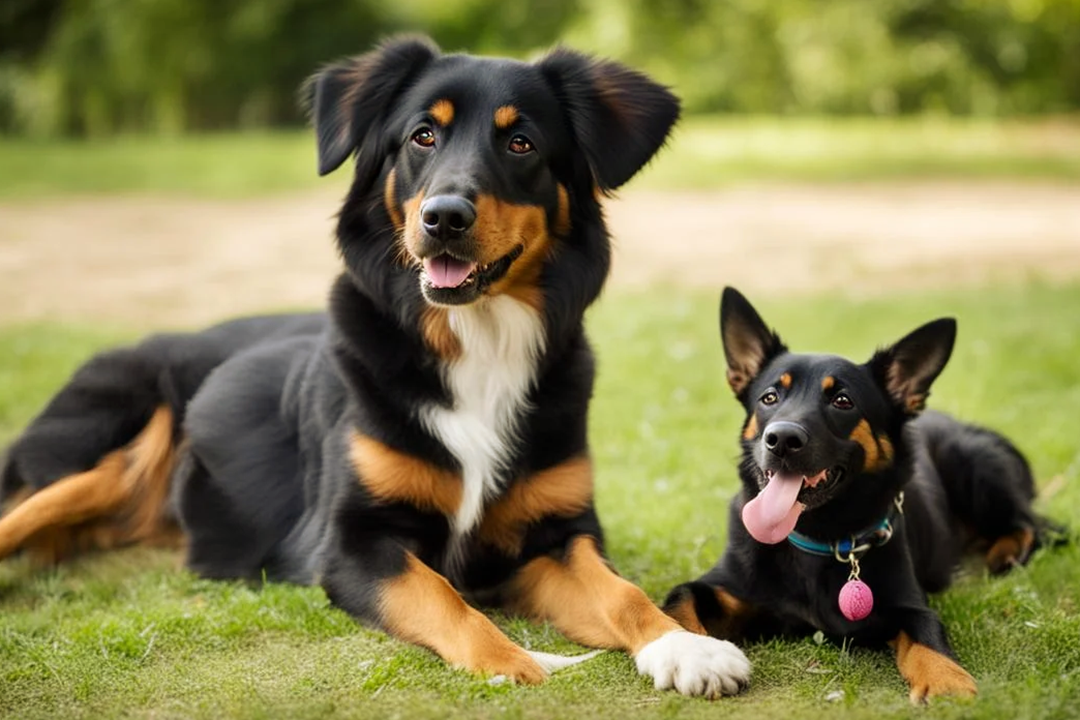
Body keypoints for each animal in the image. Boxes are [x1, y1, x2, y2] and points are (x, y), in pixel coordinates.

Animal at [0, 36, 747, 695]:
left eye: (521, 143)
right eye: (422, 136)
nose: (444, 218)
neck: (476, 343)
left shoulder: (558, 536)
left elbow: (622, 594)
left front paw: (685, 647)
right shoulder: (352, 543)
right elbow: (442, 595)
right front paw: (512, 661)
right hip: (108, 448)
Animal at [660, 287, 1058, 703]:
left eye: (842, 401)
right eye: (769, 397)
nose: (781, 439)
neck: (818, 538)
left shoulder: (909, 605)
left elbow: (928, 635)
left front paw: (948, 685)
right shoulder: (720, 589)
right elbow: (677, 603)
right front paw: (694, 654)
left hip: (974, 463)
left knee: (1034, 525)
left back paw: (1003, 554)